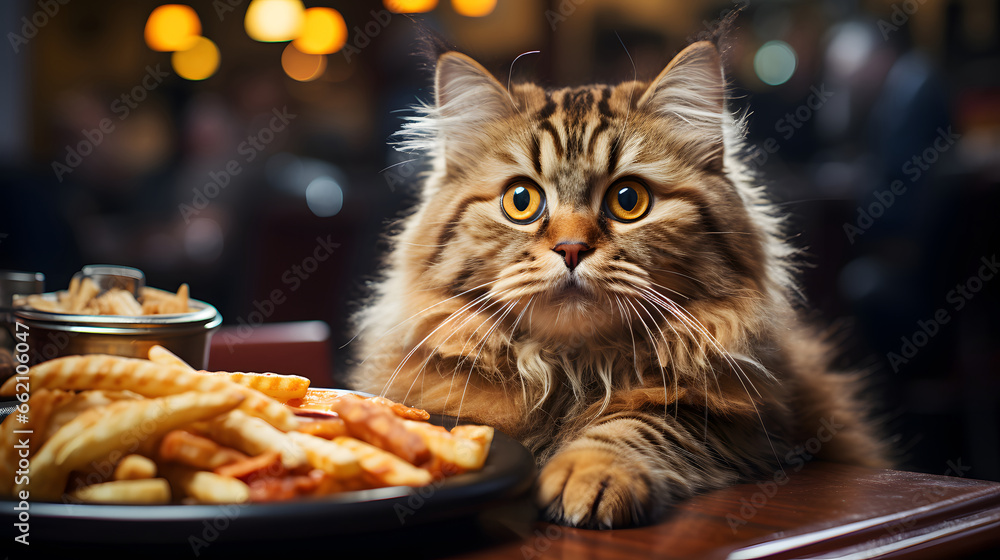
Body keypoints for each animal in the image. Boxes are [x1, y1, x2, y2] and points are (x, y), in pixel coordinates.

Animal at [346, 39, 892, 528]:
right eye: (521, 201)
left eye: (629, 200)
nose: (571, 249)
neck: (572, 367)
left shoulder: (746, 423)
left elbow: (640, 424)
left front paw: (588, 473)